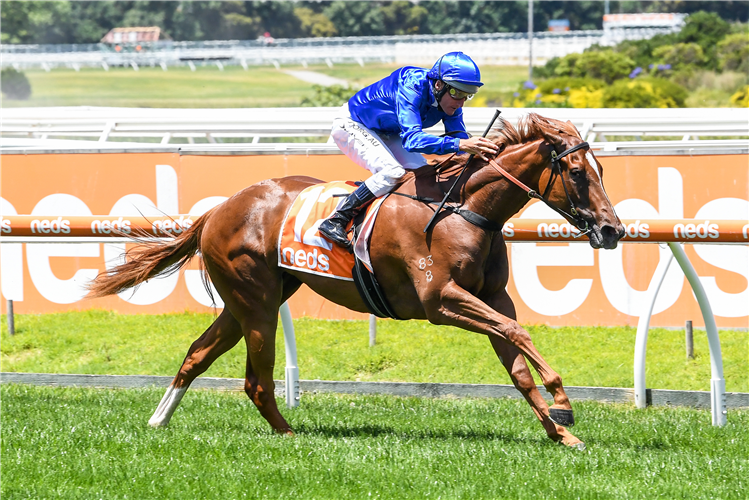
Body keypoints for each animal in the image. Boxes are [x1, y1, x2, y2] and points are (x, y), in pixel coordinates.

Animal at [89, 113, 624, 450]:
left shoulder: (491, 297)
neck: (463, 208)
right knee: (256, 380)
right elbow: (519, 335)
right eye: (577, 171)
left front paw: (561, 433)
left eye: (601, 169)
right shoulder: (441, 301)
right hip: (256, 301)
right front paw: (563, 403)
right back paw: (288, 434)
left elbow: (515, 359)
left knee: (197, 355)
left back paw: (159, 419)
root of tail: (219, 208)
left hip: (249, 301)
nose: (612, 230)